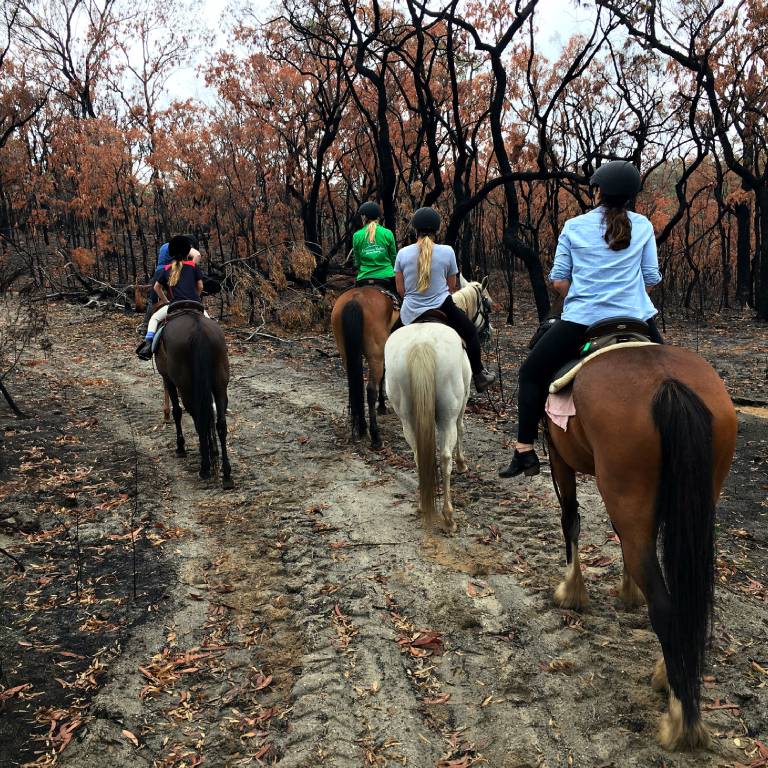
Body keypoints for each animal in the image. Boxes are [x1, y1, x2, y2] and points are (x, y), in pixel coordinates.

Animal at [153, 306, 231, 486]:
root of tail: (198, 330)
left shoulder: (168, 379)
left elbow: (177, 411)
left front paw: (181, 447)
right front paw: (211, 451)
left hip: (186, 387)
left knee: (199, 420)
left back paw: (205, 468)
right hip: (219, 384)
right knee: (220, 423)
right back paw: (226, 474)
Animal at [332, 284, 400, 448]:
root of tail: (355, 299)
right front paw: (382, 406)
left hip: (346, 352)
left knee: (355, 385)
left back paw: (360, 428)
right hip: (376, 354)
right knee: (370, 390)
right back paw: (375, 437)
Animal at [384, 280, 492, 532]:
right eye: (487, 305)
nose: (488, 333)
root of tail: (421, 344)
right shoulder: (463, 402)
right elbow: (462, 429)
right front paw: (463, 463)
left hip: (406, 415)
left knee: (416, 453)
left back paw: (422, 505)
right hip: (447, 414)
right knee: (444, 457)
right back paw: (448, 515)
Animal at [544, 344, 736, 752]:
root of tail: (669, 385)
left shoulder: (558, 456)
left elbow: (570, 519)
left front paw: (571, 591)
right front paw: (628, 590)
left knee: (664, 606)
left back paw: (682, 720)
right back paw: (673, 676)